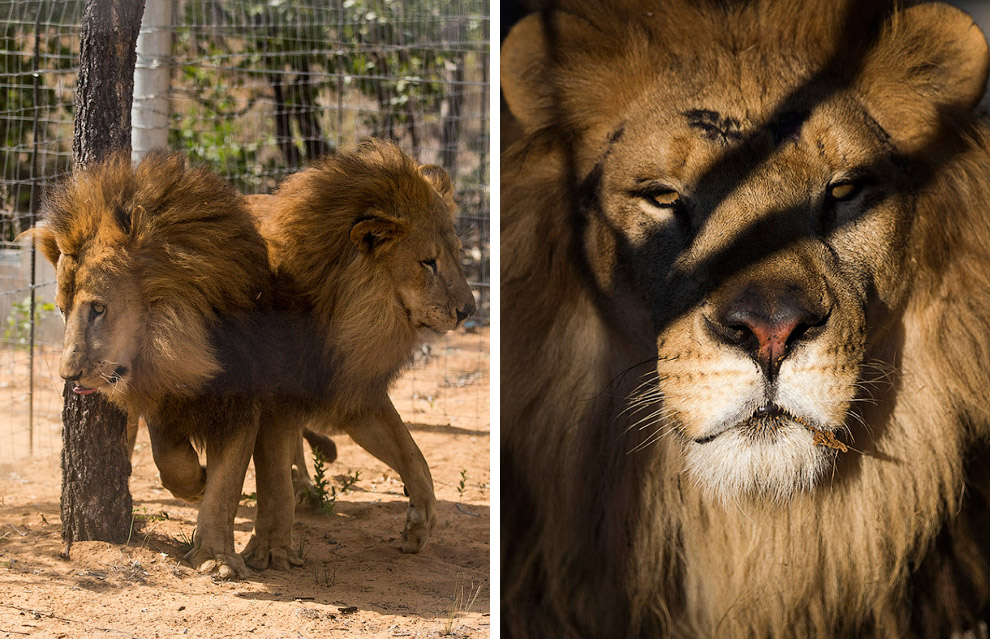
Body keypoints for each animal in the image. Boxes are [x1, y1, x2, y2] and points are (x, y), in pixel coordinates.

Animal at [27, 152, 276, 584]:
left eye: (98, 308)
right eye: (60, 309)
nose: (68, 377)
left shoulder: (241, 400)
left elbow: (226, 486)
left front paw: (216, 558)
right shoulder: (162, 395)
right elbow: (169, 459)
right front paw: (196, 482)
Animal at [236, 141, 476, 568]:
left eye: (458, 254)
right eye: (427, 262)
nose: (470, 311)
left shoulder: (354, 391)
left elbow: (413, 454)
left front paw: (421, 523)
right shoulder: (277, 395)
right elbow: (273, 486)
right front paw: (269, 551)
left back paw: (307, 488)